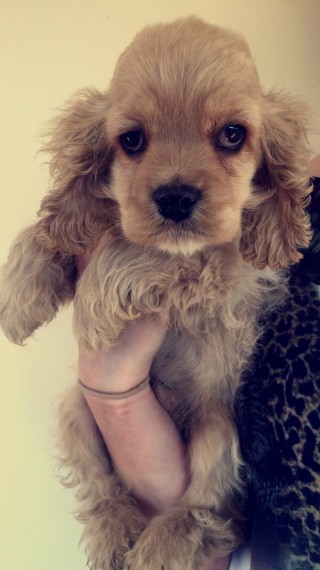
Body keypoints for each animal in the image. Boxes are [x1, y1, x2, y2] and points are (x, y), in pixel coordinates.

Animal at [0, 17, 312, 568]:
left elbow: (149, 250)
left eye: (232, 134)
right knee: (102, 487)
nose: (175, 198)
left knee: (214, 513)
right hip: (76, 407)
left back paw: (165, 539)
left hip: (218, 428)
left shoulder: (228, 271)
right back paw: (115, 531)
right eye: (131, 139)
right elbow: (55, 230)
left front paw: (93, 309)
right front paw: (19, 295)